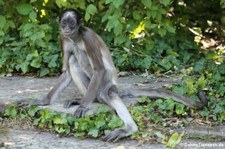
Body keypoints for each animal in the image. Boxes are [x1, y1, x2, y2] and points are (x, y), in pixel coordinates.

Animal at [18, 8, 208, 142]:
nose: (66, 28)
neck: (76, 38)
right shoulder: (63, 39)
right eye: (64, 22)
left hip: (106, 85)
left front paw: (83, 106)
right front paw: (42, 101)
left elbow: (99, 70)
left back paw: (128, 128)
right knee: (73, 60)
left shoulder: (87, 38)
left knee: (107, 92)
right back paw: (83, 99)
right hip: (92, 87)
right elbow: (65, 72)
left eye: (72, 23)